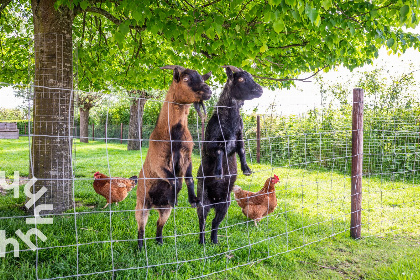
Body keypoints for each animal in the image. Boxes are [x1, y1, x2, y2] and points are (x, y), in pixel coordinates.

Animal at [136, 66, 212, 252]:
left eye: (202, 77)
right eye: (185, 79)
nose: (208, 90)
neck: (174, 135)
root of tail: (155, 205)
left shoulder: (187, 156)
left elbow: (189, 179)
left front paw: (193, 200)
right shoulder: (159, 162)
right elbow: (175, 180)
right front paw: (175, 197)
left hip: (165, 210)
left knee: (159, 223)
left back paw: (159, 241)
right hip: (141, 203)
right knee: (141, 226)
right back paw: (140, 247)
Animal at [196, 65, 262, 243]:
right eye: (241, 79)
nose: (260, 90)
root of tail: (214, 202)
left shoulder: (239, 138)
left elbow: (242, 152)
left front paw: (246, 170)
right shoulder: (210, 143)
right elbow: (219, 150)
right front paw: (219, 172)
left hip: (225, 203)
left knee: (215, 222)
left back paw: (214, 241)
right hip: (202, 201)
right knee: (202, 222)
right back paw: (202, 242)